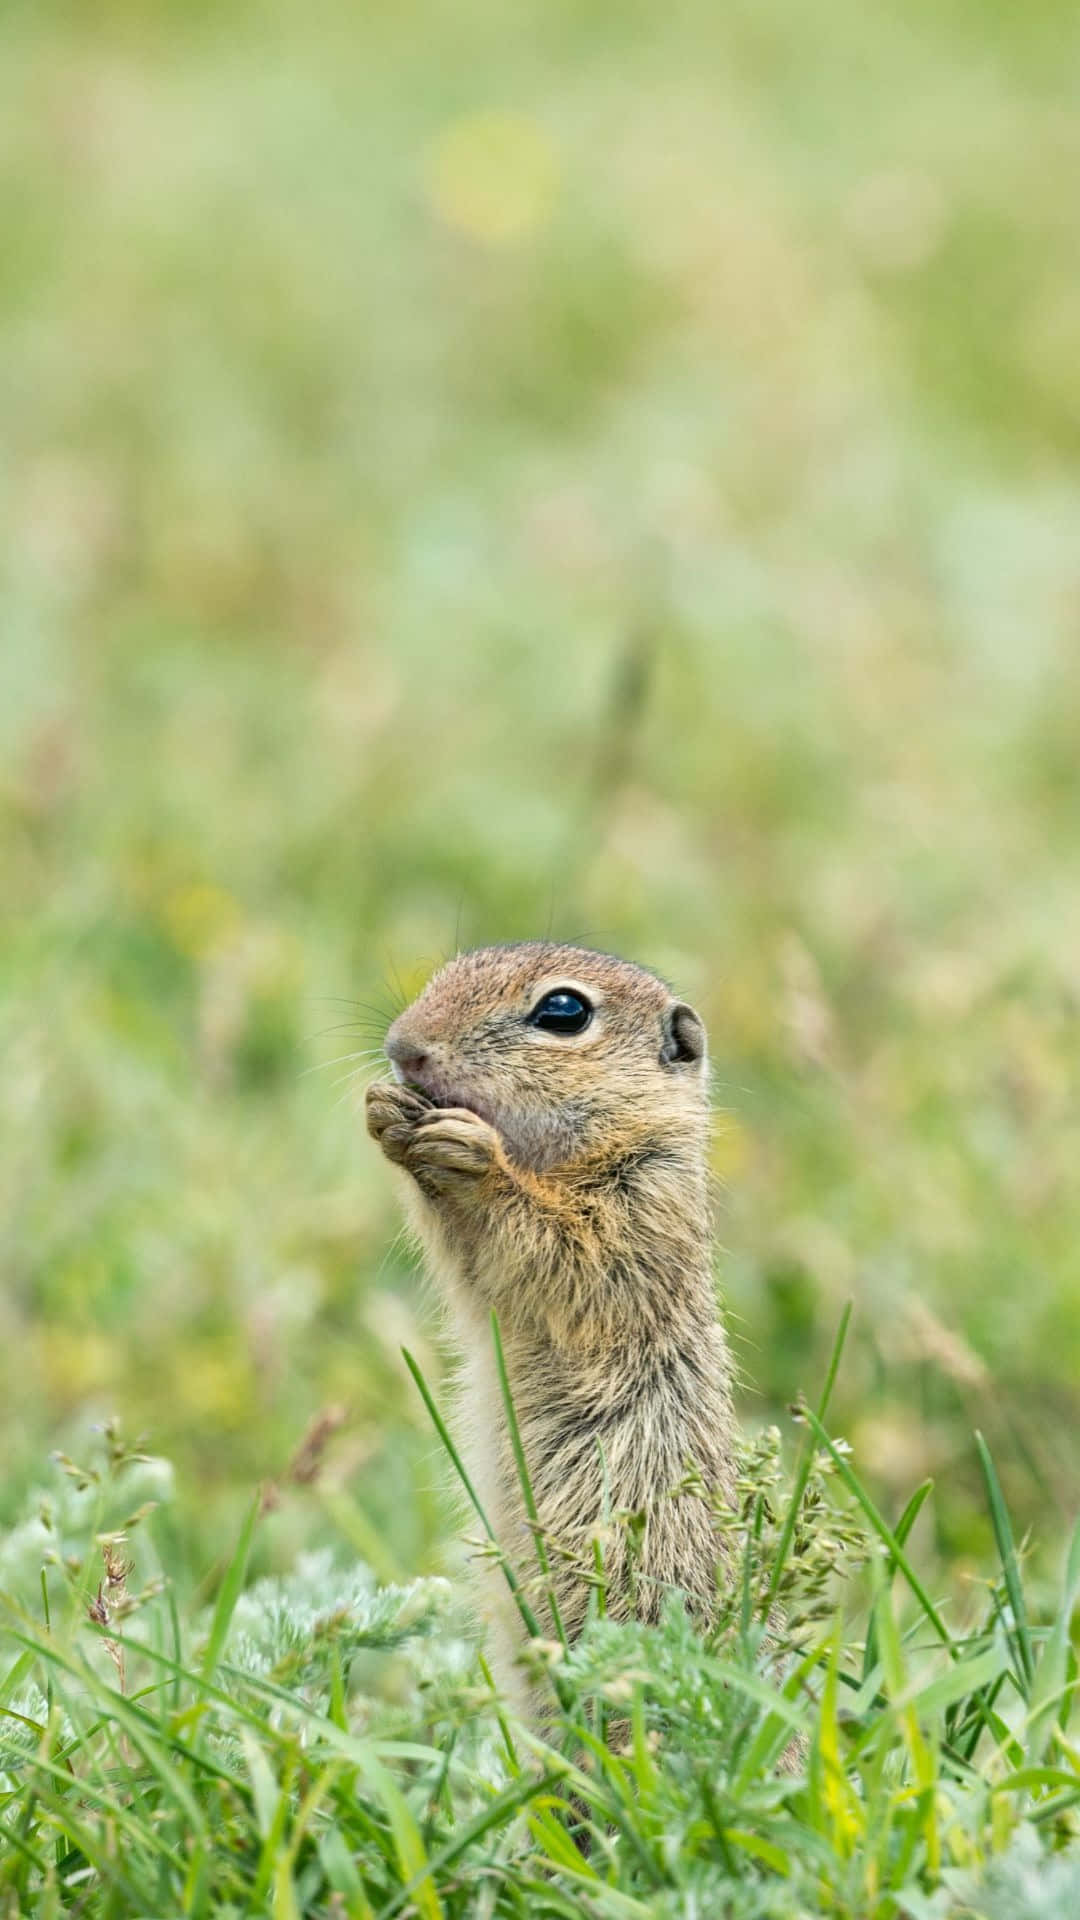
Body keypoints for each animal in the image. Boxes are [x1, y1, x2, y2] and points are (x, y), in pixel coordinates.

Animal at [365, 944, 734, 1697]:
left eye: (563, 1011)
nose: (403, 1049)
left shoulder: (645, 1203)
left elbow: (565, 1253)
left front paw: (473, 1160)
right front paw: (386, 1113)